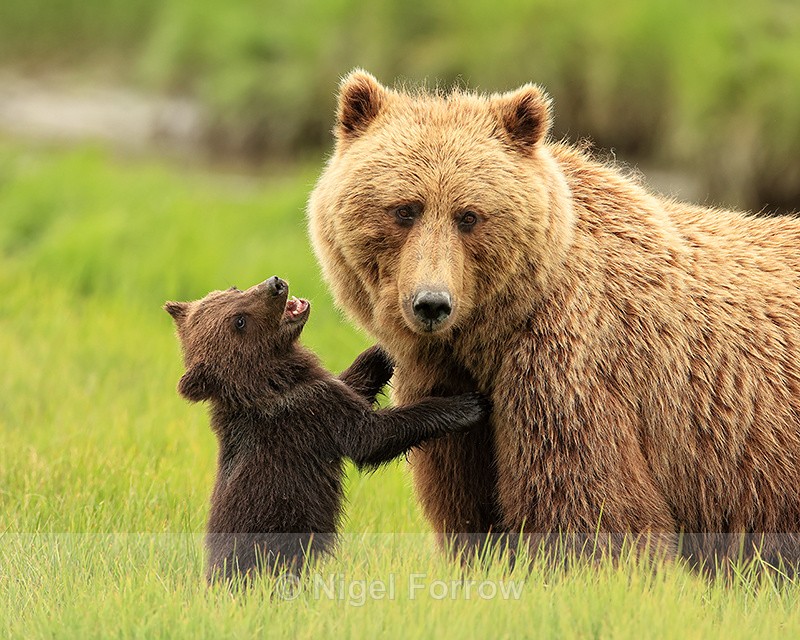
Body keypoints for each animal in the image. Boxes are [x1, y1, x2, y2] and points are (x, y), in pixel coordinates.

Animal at [165, 276, 489, 582]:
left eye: (233, 289)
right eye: (239, 320)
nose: (274, 284)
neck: (272, 382)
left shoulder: (324, 392)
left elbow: (353, 382)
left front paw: (385, 349)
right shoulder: (312, 415)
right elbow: (371, 437)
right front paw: (466, 405)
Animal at [307, 69, 800, 569]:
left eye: (469, 215)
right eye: (405, 210)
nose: (431, 304)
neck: (489, 336)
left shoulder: (567, 367)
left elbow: (587, 505)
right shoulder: (450, 389)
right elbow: (465, 504)